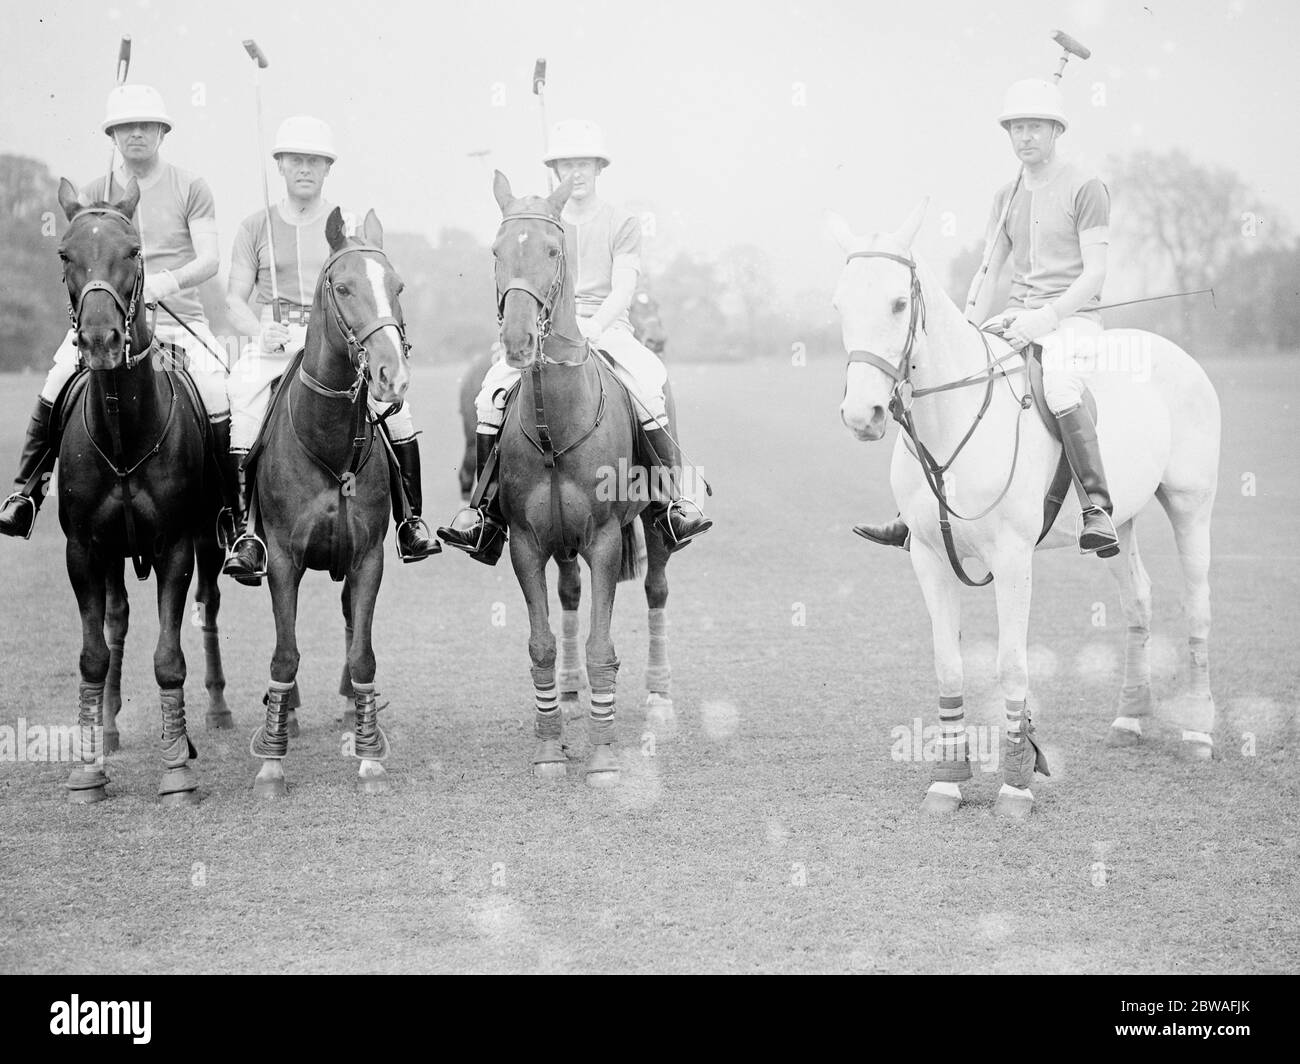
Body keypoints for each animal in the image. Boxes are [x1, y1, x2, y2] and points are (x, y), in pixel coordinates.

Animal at [53, 178, 228, 806]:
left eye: (133, 251)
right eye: (65, 255)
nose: (101, 340)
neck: (125, 436)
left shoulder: (176, 544)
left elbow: (170, 657)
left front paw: (177, 769)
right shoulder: (82, 549)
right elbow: (92, 652)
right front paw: (87, 769)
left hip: (209, 539)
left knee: (208, 607)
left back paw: (217, 710)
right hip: (111, 556)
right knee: (116, 622)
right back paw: (106, 725)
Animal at [248, 206, 410, 796]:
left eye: (397, 286)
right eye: (343, 287)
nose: (392, 376)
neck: (329, 442)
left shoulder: (368, 557)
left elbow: (363, 653)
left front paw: (368, 755)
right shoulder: (281, 559)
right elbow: (284, 652)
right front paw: (272, 762)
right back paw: (288, 713)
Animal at [488, 174, 681, 785]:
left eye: (554, 251)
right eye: (496, 252)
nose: (519, 343)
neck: (557, 422)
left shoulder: (602, 539)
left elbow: (602, 647)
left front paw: (602, 757)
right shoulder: (526, 542)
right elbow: (542, 644)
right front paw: (551, 747)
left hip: (654, 525)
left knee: (656, 590)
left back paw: (659, 702)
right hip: (562, 541)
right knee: (569, 594)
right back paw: (570, 697)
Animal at [832, 201, 1216, 811]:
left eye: (898, 303)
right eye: (840, 304)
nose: (860, 415)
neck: (954, 421)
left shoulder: (1013, 558)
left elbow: (1011, 663)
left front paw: (1017, 783)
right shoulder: (929, 558)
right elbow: (947, 665)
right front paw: (948, 780)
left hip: (1191, 502)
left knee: (1198, 604)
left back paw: (1199, 732)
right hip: (1125, 518)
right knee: (1138, 599)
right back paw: (1129, 721)